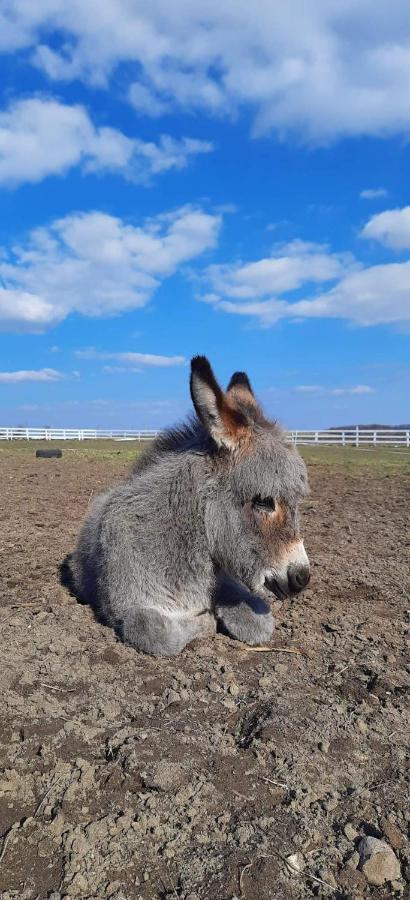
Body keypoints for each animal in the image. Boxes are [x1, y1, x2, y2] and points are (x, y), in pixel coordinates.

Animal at [69, 356, 310, 656]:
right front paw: (207, 621)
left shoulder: (227, 576)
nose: (302, 577)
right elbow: (154, 631)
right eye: (263, 501)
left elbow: (258, 623)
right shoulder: (127, 607)